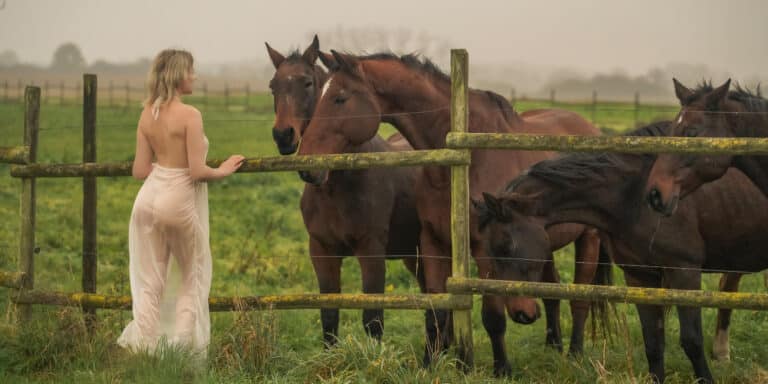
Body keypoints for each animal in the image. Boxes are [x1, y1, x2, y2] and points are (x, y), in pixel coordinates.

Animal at [262, 36, 420, 344]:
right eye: (273, 86)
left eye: (308, 82)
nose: (283, 135)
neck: (336, 186)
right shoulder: (322, 251)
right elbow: (329, 317)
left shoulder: (371, 252)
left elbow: (373, 320)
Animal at [296, 51, 604, 376]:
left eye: (340, 98)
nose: (307, 164)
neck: (466, 160)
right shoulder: (434, 243)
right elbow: (437, 312)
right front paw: (430, 365)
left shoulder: (485, 251)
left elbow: (493, 316)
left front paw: (501, 369)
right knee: (552, 290)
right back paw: (553, 348)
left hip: (589, 238)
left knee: (581, 299)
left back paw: (575, 354)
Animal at [476, 121, 764, 382]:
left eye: (504, 246)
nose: (520, 313)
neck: (633, 193)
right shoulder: (639, 276)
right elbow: (653, 342)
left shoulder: (684, 272)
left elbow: (691, 340)